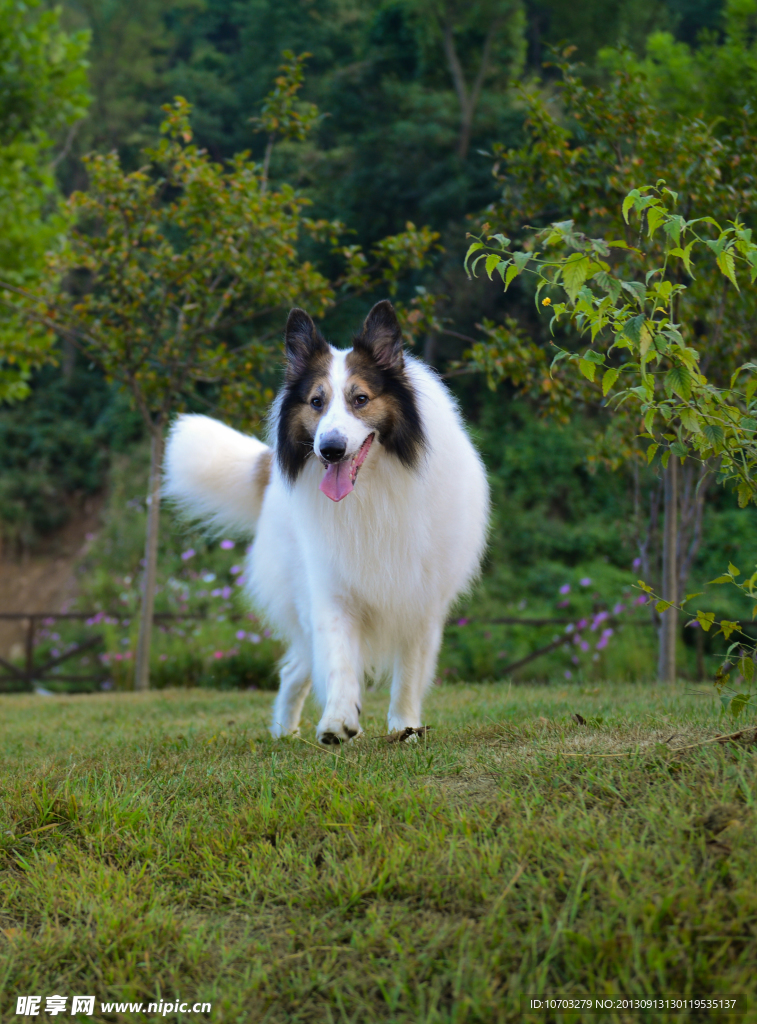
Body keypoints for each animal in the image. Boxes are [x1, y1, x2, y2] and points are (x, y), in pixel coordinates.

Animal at [162, 299, 487, 741]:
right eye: (316, 402)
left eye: (360, 398)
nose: (330, 449)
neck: (371, 491)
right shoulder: (332, 588)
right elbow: (337, 658)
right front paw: (338, 718)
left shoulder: (420, 599)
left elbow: (409, 672)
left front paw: (405, 726)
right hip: (301, 598)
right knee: (298, 665)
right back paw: (285, 730)